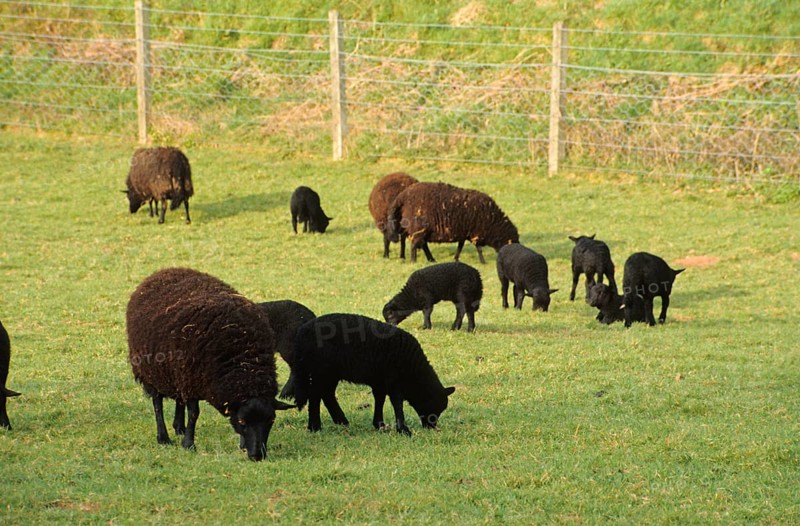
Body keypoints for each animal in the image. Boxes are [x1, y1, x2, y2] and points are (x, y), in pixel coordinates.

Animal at [126, 267, 293, 461]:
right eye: (242, 421)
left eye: (271, 420)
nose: (257, 456)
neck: (244, 363)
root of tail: (163, 271)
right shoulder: (192, 380)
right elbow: (193, 413)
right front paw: (188, 444)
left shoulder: (189, 378)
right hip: (153, 371)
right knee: (157, 403)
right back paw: (164, 437)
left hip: (176, 372)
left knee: (178, 399)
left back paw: (179, 427)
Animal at [293, 313, 455, 434]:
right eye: (435, 405)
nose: (431, 427)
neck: (413, 371)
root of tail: (302, 332)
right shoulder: (393, 380)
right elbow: (397, 403)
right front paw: (403, 430)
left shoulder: (380, 381)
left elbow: (380, 399)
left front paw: (379, 424)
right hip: (321, 369)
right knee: (315, 395)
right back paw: (315, 427)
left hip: (331, 372)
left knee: (327, 394)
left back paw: (341, 421)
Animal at [387, 182, 519, 264]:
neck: (493, 222)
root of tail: (402, 196)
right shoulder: (476, 232)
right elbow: (479, 249)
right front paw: (483, 262)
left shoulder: (465, 232)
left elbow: (460, 246)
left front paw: (456, 259)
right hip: (419, 227)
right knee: (415, 244)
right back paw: (413, 261)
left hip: (423, 230)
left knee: (423, 244)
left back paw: (431, 259)